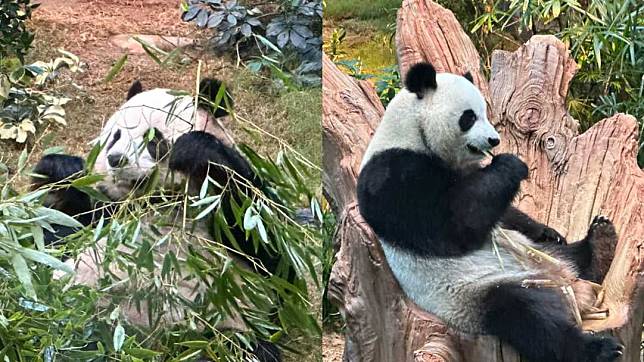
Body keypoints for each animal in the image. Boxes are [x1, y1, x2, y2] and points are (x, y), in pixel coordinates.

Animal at [30, 80, 286, 362]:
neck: (158, 204)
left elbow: (272, 253)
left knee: (241, 348)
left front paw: (196, 148)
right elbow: (52, 238)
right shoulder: (105, 212)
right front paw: (59, 170)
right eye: (115, 136)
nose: (115, 159)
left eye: (152, 139)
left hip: (217, 331)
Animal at [358, 62, 624, 362]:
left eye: (485, 112)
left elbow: (497, 210)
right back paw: (597, 348)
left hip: (536, 255)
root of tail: (566, 282)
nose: (494, 140)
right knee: (530, 316)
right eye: (469, 117)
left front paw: (548, 230)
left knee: (568, 256)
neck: (412, 132)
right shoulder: (391, 176)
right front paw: (510, 164)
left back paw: (600, 242)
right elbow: (450, 227)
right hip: (474, 295)